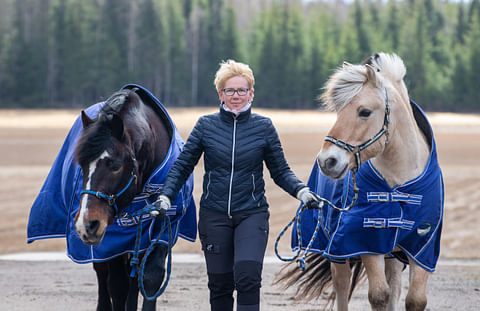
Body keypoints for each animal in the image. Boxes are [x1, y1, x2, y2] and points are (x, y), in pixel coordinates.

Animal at [276, 52, 444, 310]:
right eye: (338, 111)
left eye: (364, 111)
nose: (327, 160)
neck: (399, 181)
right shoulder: (366, 240)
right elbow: (379, 295)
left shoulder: (422, 247)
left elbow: (414, 299)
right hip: (336, 251)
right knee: (342, 287)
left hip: (393, 254)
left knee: (394, 286)